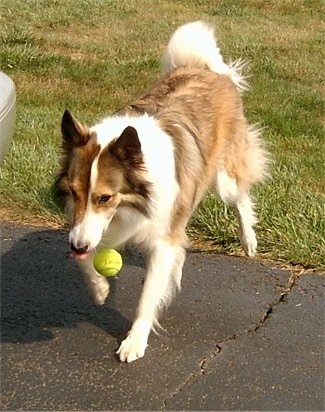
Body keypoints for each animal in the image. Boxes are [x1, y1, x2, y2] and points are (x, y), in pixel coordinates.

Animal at [55, 20, 268, 362]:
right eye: (74, 193)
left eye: (105, 197)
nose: (76, 245)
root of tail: (204, 69)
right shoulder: (93, 226)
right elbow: (86, 257)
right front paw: (100, 288)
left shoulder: (159, 234)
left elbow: (147, 296)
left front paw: (134, 341)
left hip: (225, 178)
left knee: (241, 198)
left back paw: (248, 239)